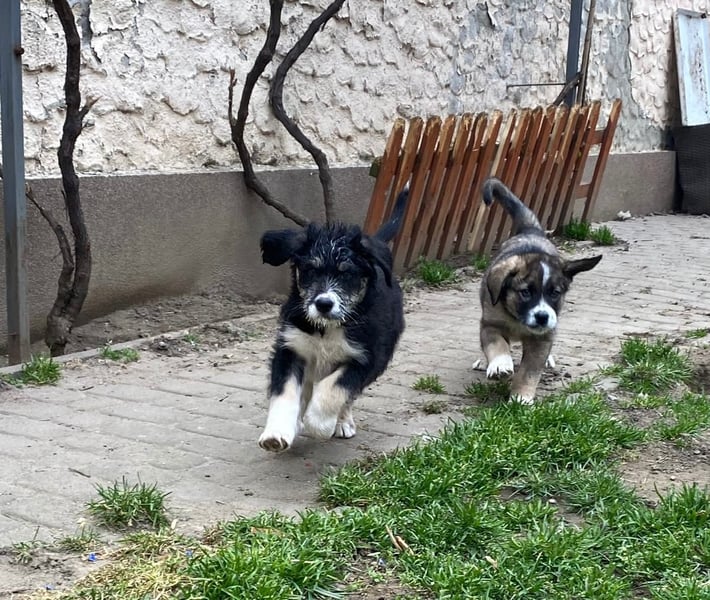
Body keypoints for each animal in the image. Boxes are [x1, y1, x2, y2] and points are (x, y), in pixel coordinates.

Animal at [257, 189, 408, 452]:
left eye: (347, 274)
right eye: (310, 270)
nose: (323, 304)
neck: (327, 329)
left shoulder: (366, 359)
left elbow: (335, 388)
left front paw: (320, 424)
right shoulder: (291, 348)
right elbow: (286, 392)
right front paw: (277, 432)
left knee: (345, 395)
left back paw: (341, 422)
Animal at [478, 178, 602, 404]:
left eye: (555, 293)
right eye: (525, 292)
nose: (542, 317)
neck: (517, 319)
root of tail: (530, 231)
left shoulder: (541, 340)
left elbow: (529, 371)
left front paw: (521, 397)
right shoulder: (491, 323)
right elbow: (496, 344)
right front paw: (500, 364)